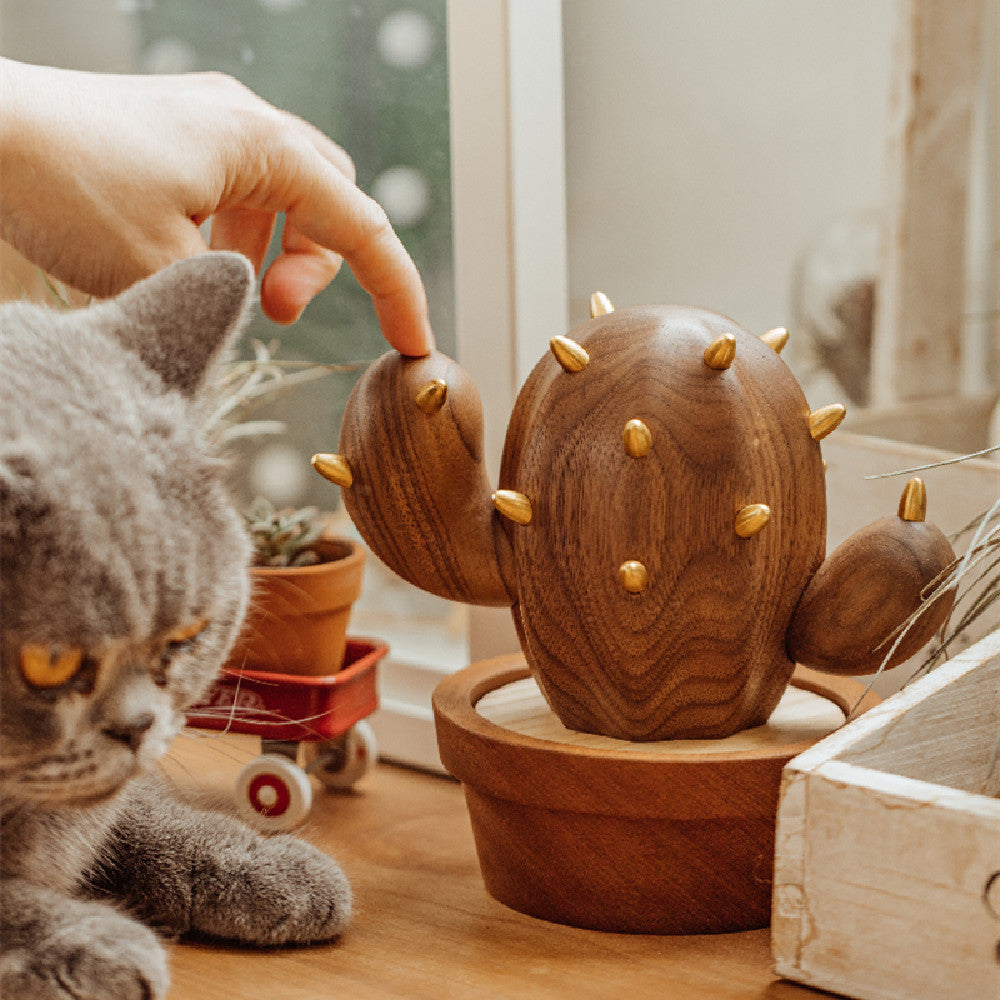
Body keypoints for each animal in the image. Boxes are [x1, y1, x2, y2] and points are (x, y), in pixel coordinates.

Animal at [0, 254, 352, 1000]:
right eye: (49, 661)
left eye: (189, 632)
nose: (136, 727)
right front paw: (84, 946)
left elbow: (132, 813)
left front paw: (265, 866)